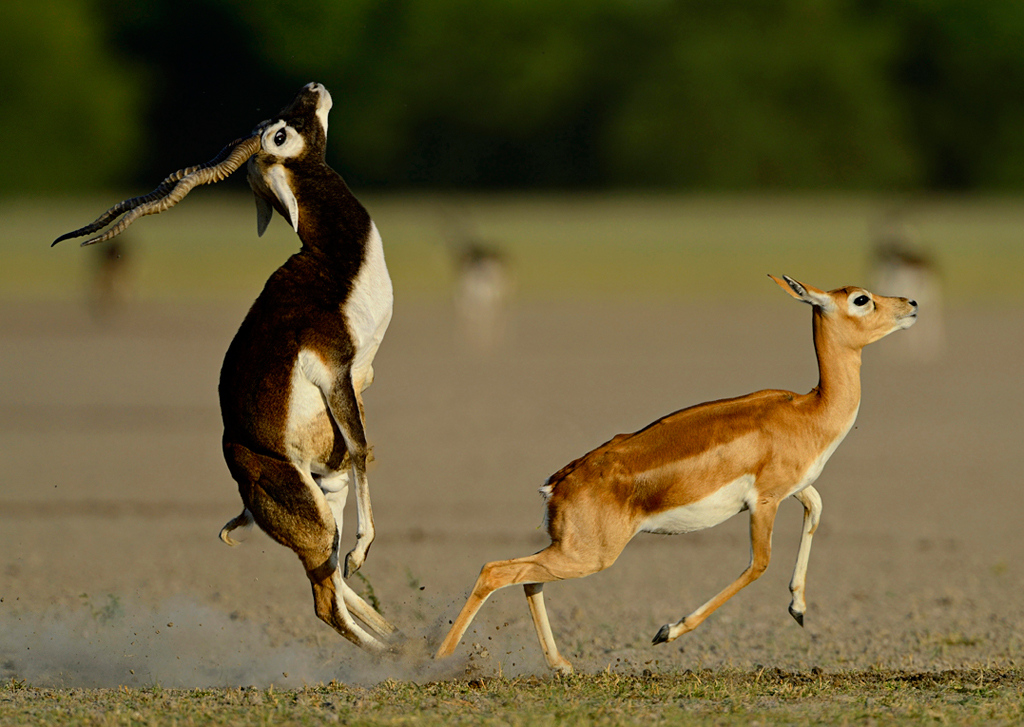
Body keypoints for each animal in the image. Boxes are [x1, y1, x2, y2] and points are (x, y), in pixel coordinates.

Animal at [52, 82, 395, 651]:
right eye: (279, 133)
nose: (313, 88)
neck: (334, 264)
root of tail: (240, 466)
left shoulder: (360, 384)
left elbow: (359, 452)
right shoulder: (337, 372)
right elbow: (364, 451)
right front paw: (365, 548)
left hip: (325, 490)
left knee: (331, 576)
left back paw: (400, 633)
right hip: (312, 511)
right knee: (324, 599)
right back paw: (402, 655)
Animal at [436, 276, 917, 675]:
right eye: (861, 299)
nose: (911, 303)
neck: (808, 411)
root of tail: (560, 482)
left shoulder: (794, 490)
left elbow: (816, 509)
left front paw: (798, 607)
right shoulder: (764, 501)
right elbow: (759, 563)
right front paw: (667, 630)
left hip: (569, 550)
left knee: (526, 577)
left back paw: (561, 665)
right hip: (588, 557)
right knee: (495, 570)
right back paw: (438, 662)